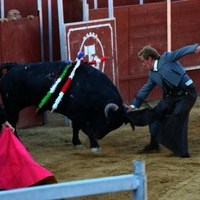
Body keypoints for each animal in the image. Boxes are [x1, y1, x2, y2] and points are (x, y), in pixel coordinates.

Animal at [0, 61, 159, 151]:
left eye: (115, 125)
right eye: (107, 120)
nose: (98, 135)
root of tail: (13, 67)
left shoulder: (76, 114)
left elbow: (76, 128)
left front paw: (77, 143)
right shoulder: (76, 114)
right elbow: (86, 128)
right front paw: (94, 145)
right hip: (12, 106)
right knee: (12, 123)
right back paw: (22, 146)